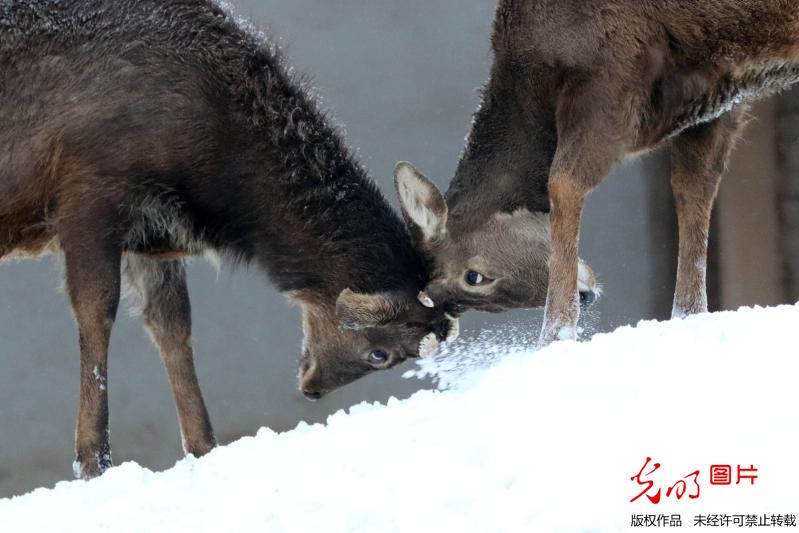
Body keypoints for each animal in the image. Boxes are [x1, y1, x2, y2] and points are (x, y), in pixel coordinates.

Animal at [1, 0, 456, 480]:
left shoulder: (151, 235)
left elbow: (172, 325)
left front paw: (202, 447)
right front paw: (92, 461)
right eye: (380, 354)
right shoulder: (90, 190)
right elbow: (96, 311)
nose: (311, 388)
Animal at [396, 0, 799, 340]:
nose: (587, 294)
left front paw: (556, 333)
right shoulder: (712, 98)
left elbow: (563, 183)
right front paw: (688, 313)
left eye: (474, 276)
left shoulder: (613, 76)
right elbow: (693, 189)